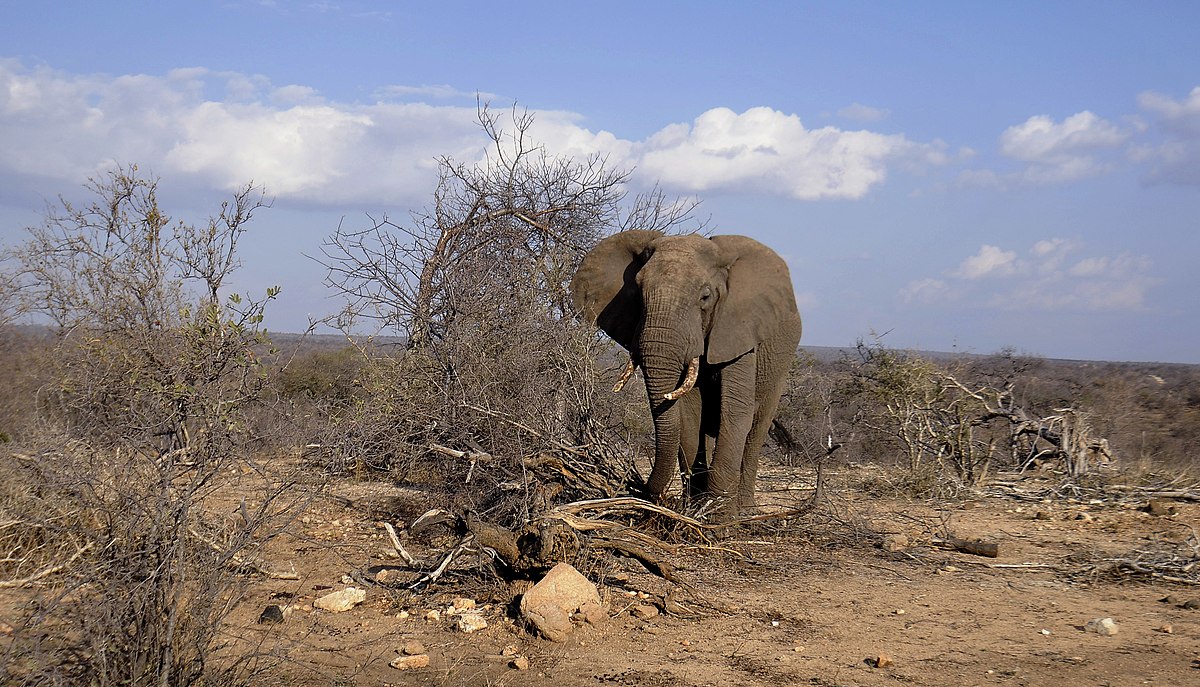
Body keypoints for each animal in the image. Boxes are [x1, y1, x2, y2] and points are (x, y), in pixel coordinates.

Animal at [568, 230, 801, 521]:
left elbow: (735, 411)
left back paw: (747, 512)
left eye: (705, 297)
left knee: (757, 429)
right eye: (638, 293)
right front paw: (693, 510)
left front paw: (719, 519)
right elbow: (690, 413)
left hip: (779, 369)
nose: (638, 487)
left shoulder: (739, 331)